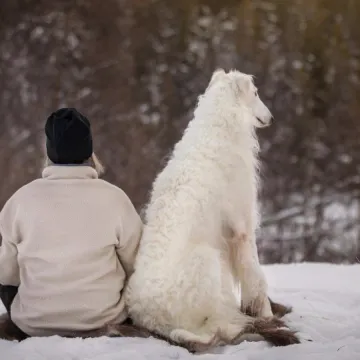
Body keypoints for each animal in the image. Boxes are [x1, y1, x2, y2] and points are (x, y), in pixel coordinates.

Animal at [125, 69, 300, 352]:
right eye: (256, 93)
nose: (271, 118)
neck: (217, 128)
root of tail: (153, 321)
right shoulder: (242, 229)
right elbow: (256, 279)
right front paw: (265, 314)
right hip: (207, 260)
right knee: (219, 326)